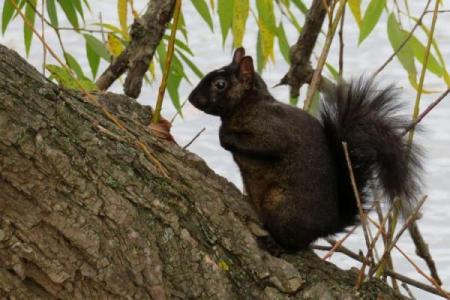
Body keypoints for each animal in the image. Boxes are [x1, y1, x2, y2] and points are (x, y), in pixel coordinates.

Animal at [187, 48, 422, 250]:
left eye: (220, 84)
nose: (190, 98)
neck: (249, 105)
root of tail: (327, 226)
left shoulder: (274, 129)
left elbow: (264, 145)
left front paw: (225, 137)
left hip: (281, 205)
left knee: (294, 242)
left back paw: (277, 245)